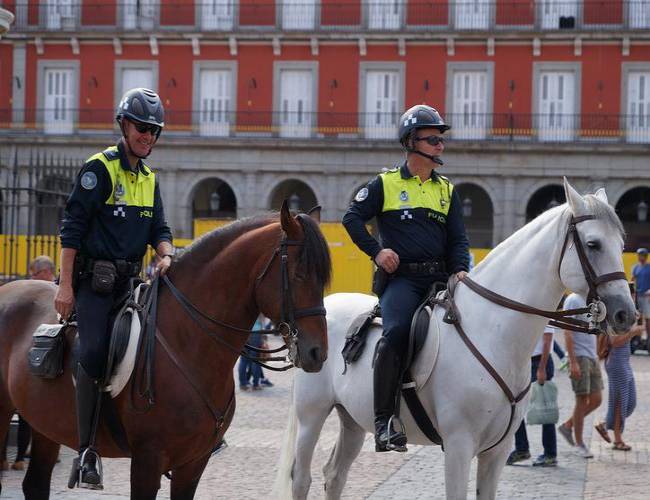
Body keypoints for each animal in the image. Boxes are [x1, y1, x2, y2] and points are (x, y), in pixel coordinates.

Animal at [0, 203, 330, 500]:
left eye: (323, 277)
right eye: (299, 274)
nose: (318, 352)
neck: (189, 342)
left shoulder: (193, 464)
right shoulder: (148, 460)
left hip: (45, 425)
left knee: (36, 484)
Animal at [272, 181, 632, 500]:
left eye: (621, 244)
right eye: (593, 244)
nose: (625, 314)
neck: (494, 332)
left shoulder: (496, 451)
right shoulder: (459, 445)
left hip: (352, 420)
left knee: (335, 475)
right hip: (311, 415)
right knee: (301, 478)